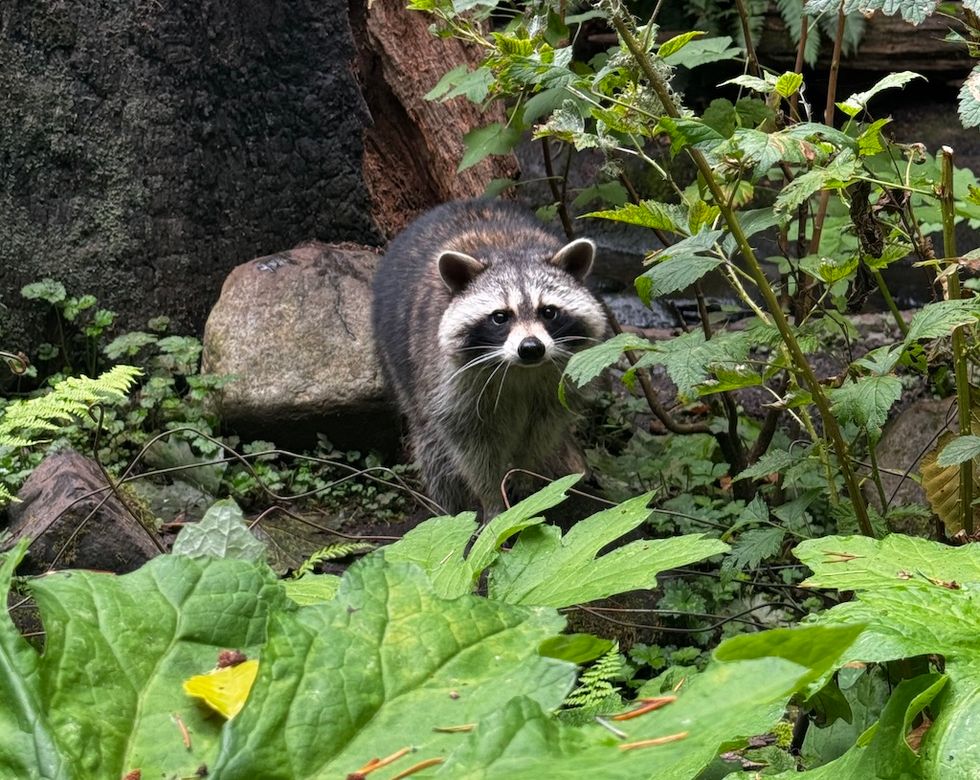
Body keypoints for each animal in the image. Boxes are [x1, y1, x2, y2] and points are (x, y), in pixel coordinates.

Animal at [371, 199, 608, 517]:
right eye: (500, 317)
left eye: (548, 312)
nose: (531, 348)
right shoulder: (449, 386)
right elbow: (474, 452)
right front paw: (492, 500)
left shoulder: (560, 384)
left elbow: (539, 436)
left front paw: (524, 478)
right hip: (401, 363)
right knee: (432, 447)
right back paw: (448, 509)